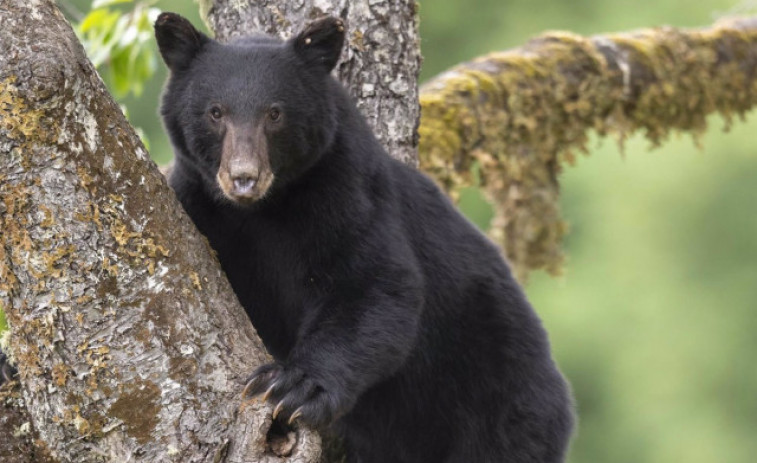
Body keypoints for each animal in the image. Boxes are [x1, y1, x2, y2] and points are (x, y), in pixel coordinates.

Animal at [154, 12, 568, 463]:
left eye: (275, 113)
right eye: (215, 112)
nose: (244, 177)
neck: (264, 209)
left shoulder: (348, 190)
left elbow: (373, 284)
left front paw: (294, 387)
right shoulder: (198, 203)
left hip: (495, 390)